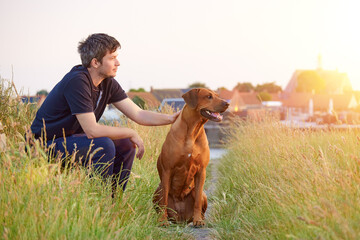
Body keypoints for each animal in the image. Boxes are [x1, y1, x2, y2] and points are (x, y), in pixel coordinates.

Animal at [153, 88, 229, 227]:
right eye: (209, 96)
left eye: (217, 95)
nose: (227, 104)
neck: (192, 131)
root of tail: (181, 219)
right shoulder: (167, 170)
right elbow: (164, 200)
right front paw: (162, 220)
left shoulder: (201, 170)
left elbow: (197, 201)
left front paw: (198, 220)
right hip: (157, 190)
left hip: (200, 193)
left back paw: (199, 218)